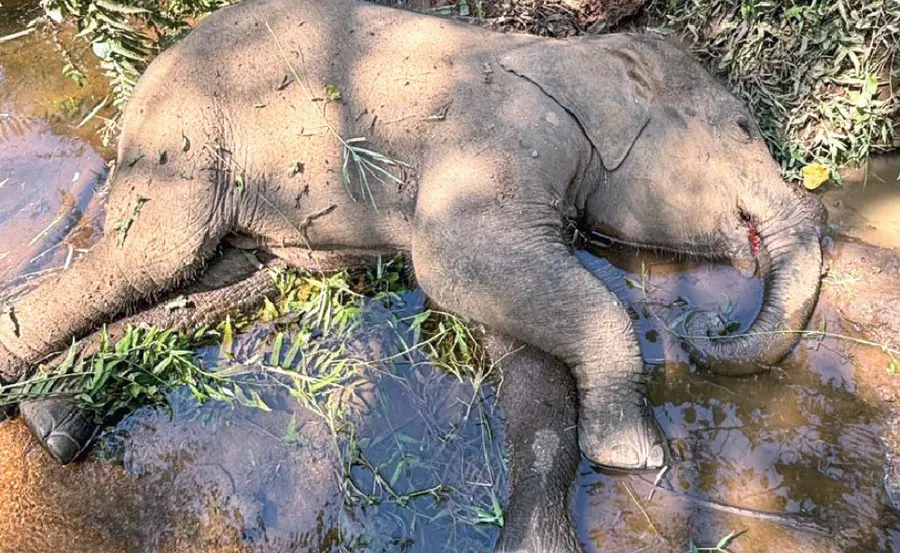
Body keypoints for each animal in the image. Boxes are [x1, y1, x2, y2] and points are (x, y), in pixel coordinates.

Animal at [0, 0, 825, 469]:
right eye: (744, 129)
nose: (706, 324)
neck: (581, 57)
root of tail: (142, 79)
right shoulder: (502, 135)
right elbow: (451, 263)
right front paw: (635, 457)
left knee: (217, 277)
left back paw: (51, 418)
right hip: (186, 134)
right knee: (151, 255)